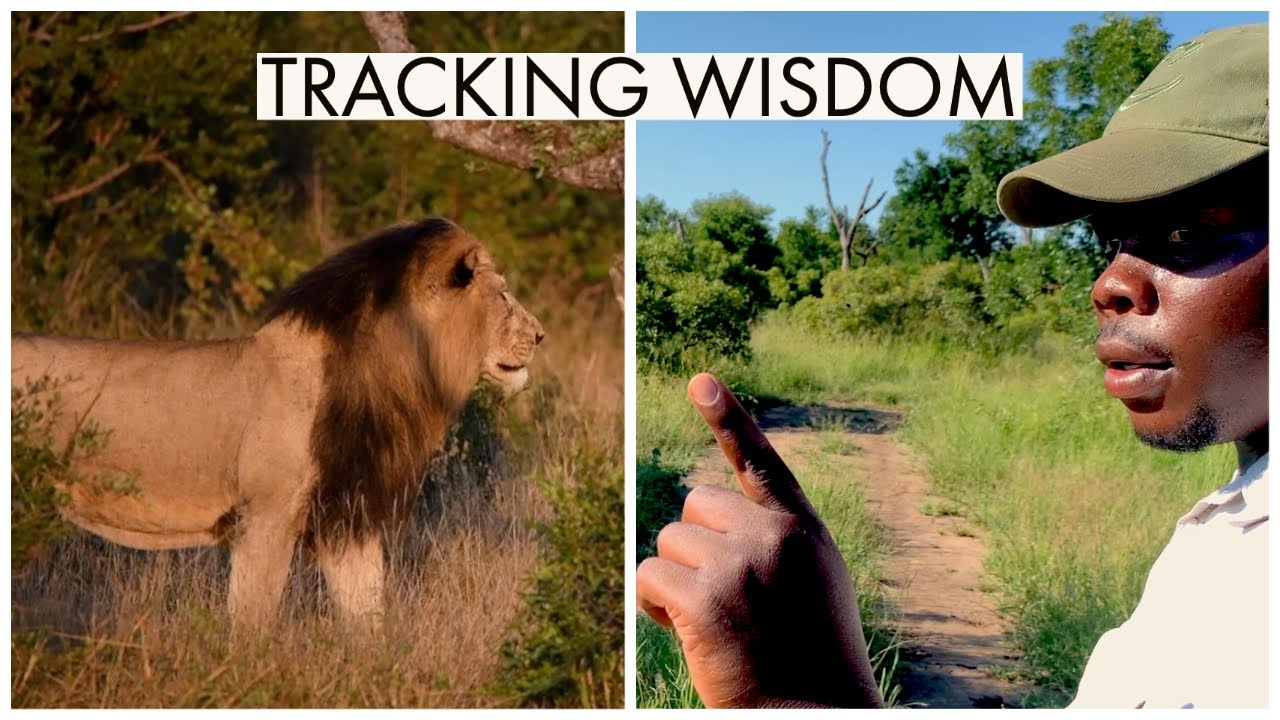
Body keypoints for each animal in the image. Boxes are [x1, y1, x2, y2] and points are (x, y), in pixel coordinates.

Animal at [10, 218, 543, 631]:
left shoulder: (345, 515)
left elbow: (367, 615)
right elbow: (253, 620)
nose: (540, 335)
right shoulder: (266, 518)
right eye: (503, 295)